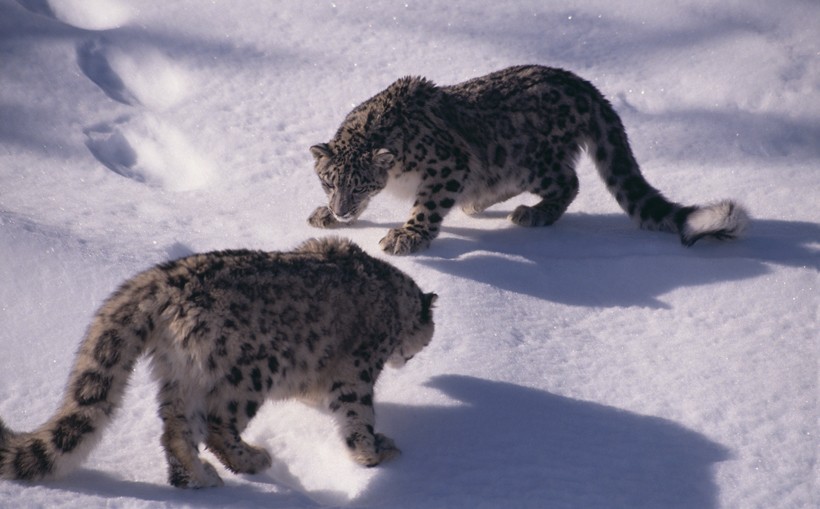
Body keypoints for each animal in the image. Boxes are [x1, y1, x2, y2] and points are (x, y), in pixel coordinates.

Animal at [0, 238, 436, 488]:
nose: (411, 357)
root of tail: (158, 281)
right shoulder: (358, 369)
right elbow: (356, 413)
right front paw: (374, 453)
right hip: (252, 371)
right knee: (217, 424)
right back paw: (251, 459)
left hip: (180, 373)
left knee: (176, 429)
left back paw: (195, 478)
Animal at [308, 64, 748, 254]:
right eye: (329, 181)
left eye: (361, 183)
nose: (341, 209)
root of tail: (584, 85)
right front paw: (326, 216)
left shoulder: (446, 166)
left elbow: (427, 207)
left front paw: (407, 236)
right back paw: (477, 201)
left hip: (535, 163)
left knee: (570, 182)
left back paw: (531, 213)